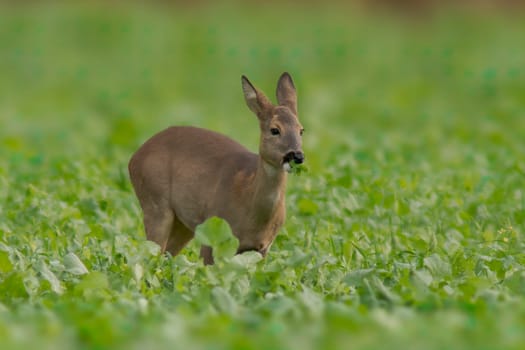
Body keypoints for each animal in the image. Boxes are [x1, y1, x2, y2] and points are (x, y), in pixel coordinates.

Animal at [126, 73, 302, 266]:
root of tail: (134, 158)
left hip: (183, 222)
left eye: (301, 130)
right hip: (155, 203)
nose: (297, 156)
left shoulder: (262, 248)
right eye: (275, 130)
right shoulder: (212, 231)